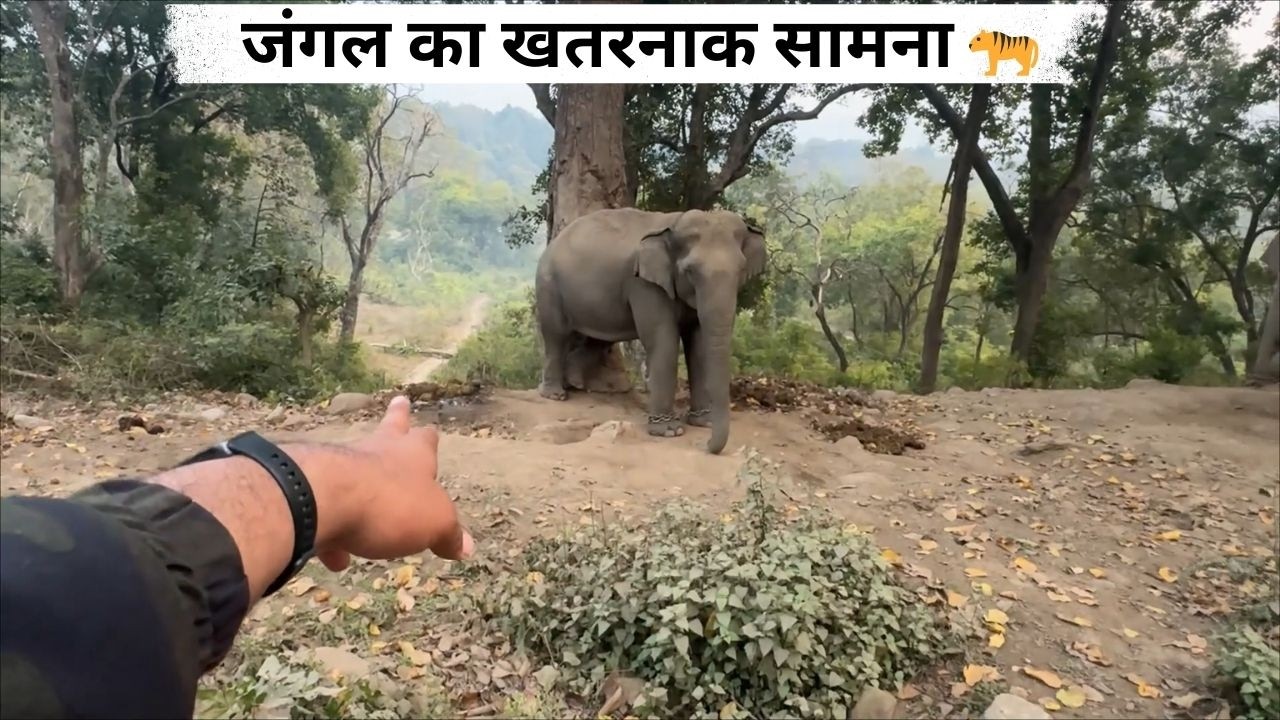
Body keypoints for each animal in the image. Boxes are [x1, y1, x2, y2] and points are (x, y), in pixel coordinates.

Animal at [535, 208, 767, 454]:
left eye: (741, 270)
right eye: (690, 271)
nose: (705, 446)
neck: (672, 223)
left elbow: (699, 345)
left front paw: (703, 422)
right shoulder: (644, 284)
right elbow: (663, 340)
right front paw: (670, 431)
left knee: (597, 339)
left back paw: (575, 383)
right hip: (548, 284)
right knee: (556, 335)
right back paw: (555, 395)